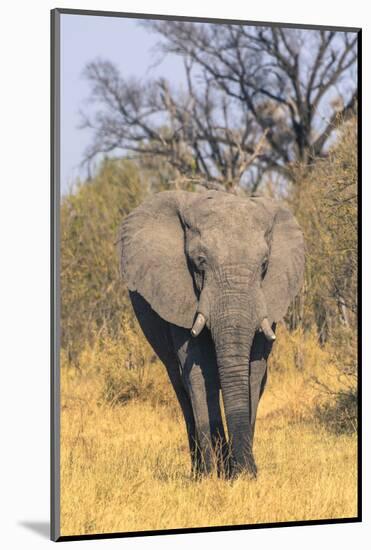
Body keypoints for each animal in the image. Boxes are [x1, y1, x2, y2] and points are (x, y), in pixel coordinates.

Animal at [119, 189, 306, 478]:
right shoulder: (181, 296)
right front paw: (213, 477)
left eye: (264, 264)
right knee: (181, 386)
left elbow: (253, 371)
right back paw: (199, 472)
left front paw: (241, 474)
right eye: (200, 262)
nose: (246, 471)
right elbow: (198, 370)